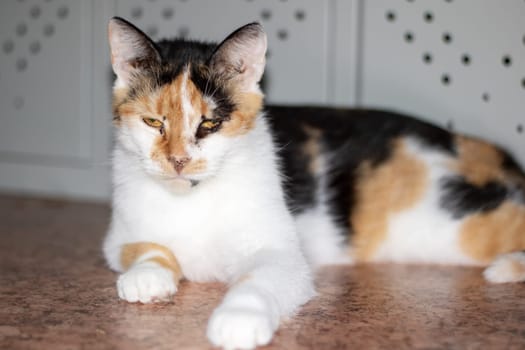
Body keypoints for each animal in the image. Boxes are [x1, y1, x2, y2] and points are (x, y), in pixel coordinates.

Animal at [103, 18, 524, 350]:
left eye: (209, 124)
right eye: (153, 122)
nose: (178, 161)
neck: (190, 197)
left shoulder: (282, 254)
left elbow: (258, 279)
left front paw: (238, 320)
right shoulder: (116, 237)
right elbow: (145, 246)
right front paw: (145, 278)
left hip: (453, 224)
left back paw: (505, 267)